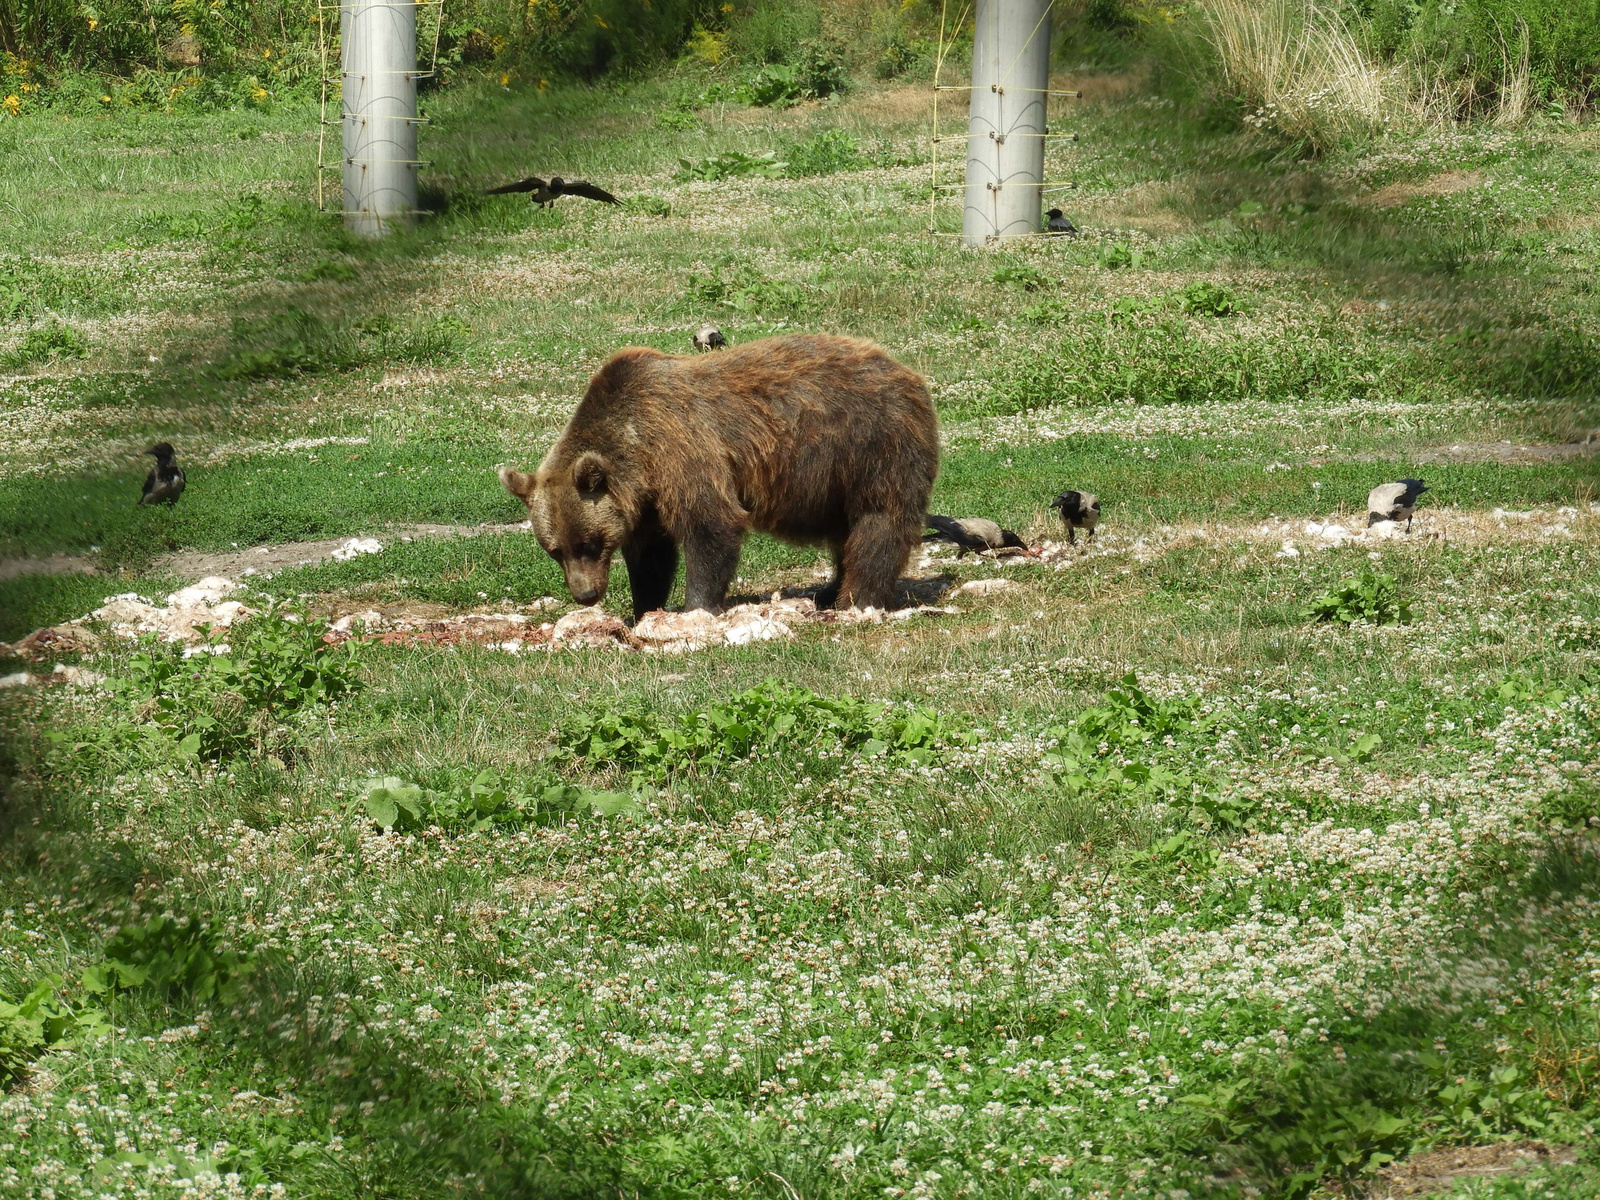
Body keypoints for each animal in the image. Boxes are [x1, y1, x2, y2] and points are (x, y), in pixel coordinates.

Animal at [502, 336, 934, 620]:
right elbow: (651, 554)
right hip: (835, 478)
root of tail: (908, 372)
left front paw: (697, 607)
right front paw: (644, 608)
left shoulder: (682, 447)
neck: (636, 445)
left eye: (589, 543)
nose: (586, 594)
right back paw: (830, 590)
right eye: (555, 549)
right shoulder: (645, 499)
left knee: (879, 521)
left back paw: (857, 599)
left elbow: (710, 524)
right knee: (844, 529)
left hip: (871, 444)